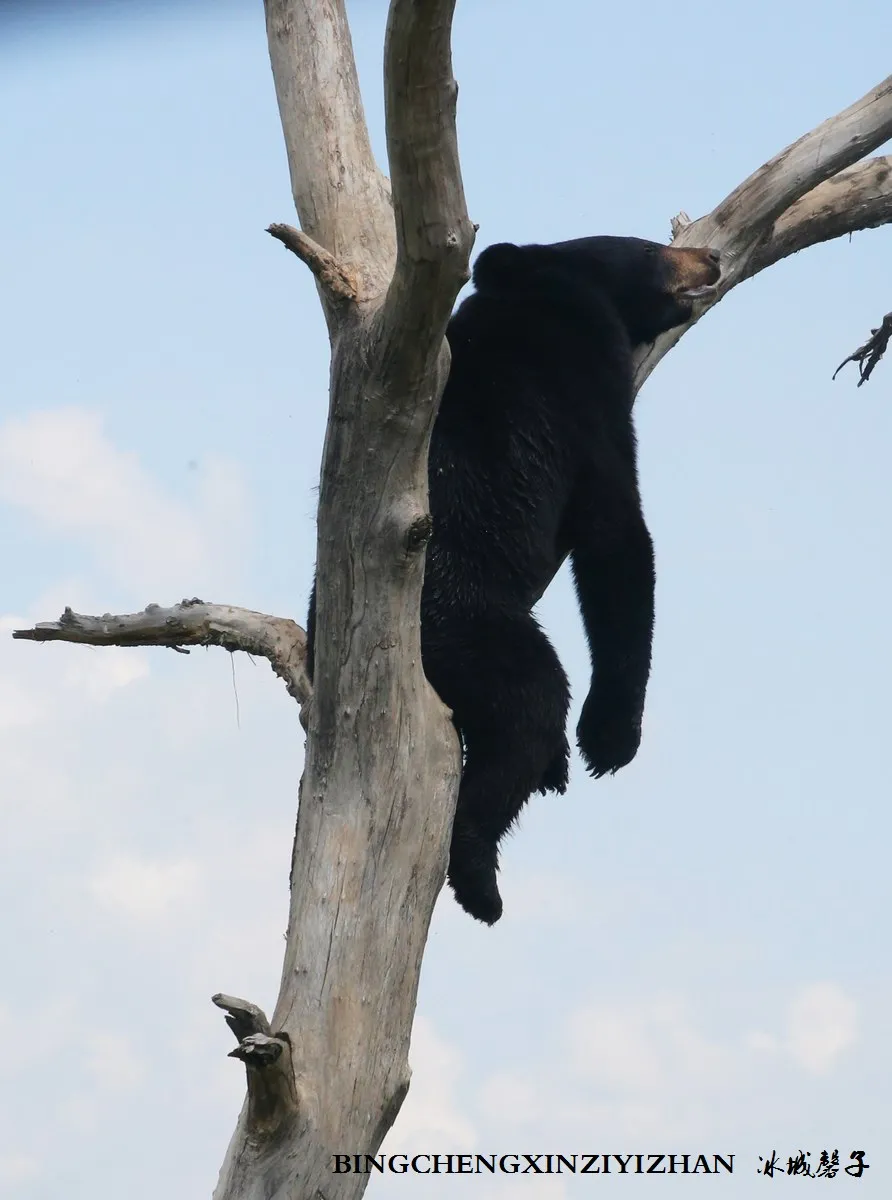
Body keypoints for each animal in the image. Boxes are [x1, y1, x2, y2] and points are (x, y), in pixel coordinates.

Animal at [304, 236, 720, 926]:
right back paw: (480, 879)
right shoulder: (587, 395)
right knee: (528, 706)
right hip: (468, 629)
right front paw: (610, 735)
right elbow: (618, 540)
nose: (710, 256)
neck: (551, 287)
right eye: (653, 248)